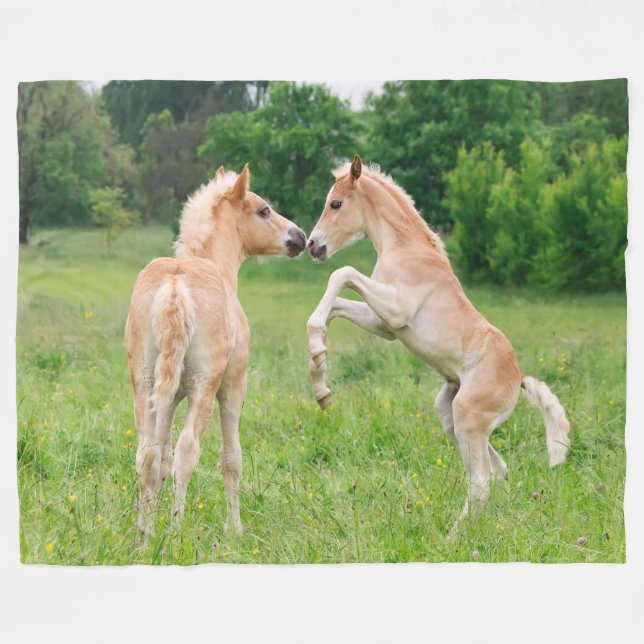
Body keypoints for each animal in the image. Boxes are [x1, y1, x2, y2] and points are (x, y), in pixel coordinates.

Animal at [125, 164, 307, 535]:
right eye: (264, 210)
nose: (300, 237)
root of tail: (175, 288)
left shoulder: (168, 398)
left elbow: (160, 458)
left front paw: (153, 517)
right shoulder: (233, 387)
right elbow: (230, 458)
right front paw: (235, 528)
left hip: (146, 385)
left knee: (147, 454)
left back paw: (143, 535)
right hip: (204, 387)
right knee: (187, 451)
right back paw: (176, 532)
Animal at [305, 154, 570, 536]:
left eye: (336, 203)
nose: (313, 245)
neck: (406, 248)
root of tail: (518, 378)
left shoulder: (396, 310)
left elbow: (343, 274)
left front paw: (317, 357)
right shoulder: (385, 324)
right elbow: (336, 306)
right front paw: (320, 377)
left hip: (468, 418)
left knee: (481, 482)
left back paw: (452, 538)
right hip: (452, 416)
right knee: (497, 471)